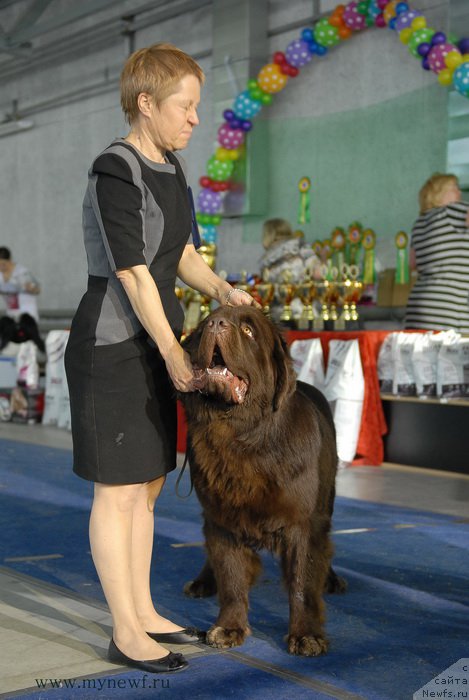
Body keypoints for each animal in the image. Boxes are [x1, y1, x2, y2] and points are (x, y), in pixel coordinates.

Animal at [179, 306, 344, 656]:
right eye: (205, 325)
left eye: (248, 330)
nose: (216, 324)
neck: (244, 438)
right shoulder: (222, 519)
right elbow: (230, 575)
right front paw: (228, 627)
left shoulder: (303, 523)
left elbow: (303, 579)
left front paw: (306, 635)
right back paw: (202, 581)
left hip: (327, 501)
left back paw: (332, 579)